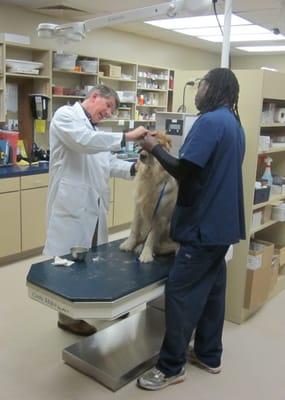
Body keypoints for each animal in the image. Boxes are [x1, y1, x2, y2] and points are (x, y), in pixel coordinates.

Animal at [120, 131, 178, 262]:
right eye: (143, 145)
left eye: (156, 146)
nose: (141, 156)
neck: (151, 173)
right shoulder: (138, 207)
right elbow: (134, 229)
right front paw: (129, 244)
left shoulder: (159, 216)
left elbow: (151, 237)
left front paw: (146, 254)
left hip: (169, 226)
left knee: (168, 245)